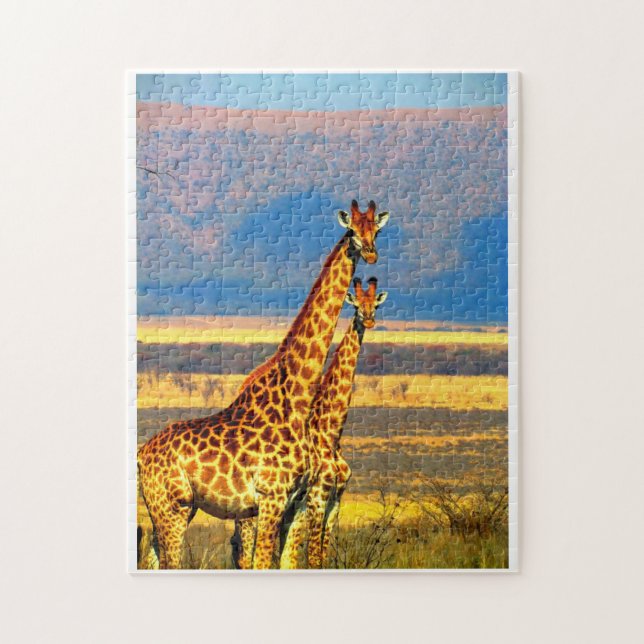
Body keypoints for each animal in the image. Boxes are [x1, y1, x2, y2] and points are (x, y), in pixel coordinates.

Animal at [138, 200, 390, 569]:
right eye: (353, 231)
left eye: (377, 230)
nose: (370, 254)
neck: (298, 398)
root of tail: (140, 454)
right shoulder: (277, 498)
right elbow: (267, 562)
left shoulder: (297, 502)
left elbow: (291, 562)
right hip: (172, 507)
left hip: (173, 508)